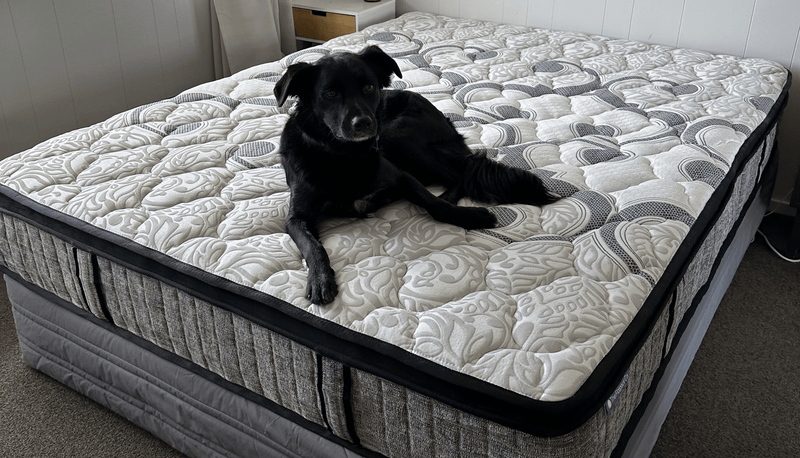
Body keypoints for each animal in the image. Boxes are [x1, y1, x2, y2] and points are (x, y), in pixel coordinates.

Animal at [274, 45, 557, 305]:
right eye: (330, 93)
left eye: (369, 88)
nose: (363, 123)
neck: (344, 156)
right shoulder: (296, 217)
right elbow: (313, 246)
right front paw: (320, 279)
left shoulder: (402, 177)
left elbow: (434, 205)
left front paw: (470, 216)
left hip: (396, 135)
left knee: (462, 173)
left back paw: (450, 196)